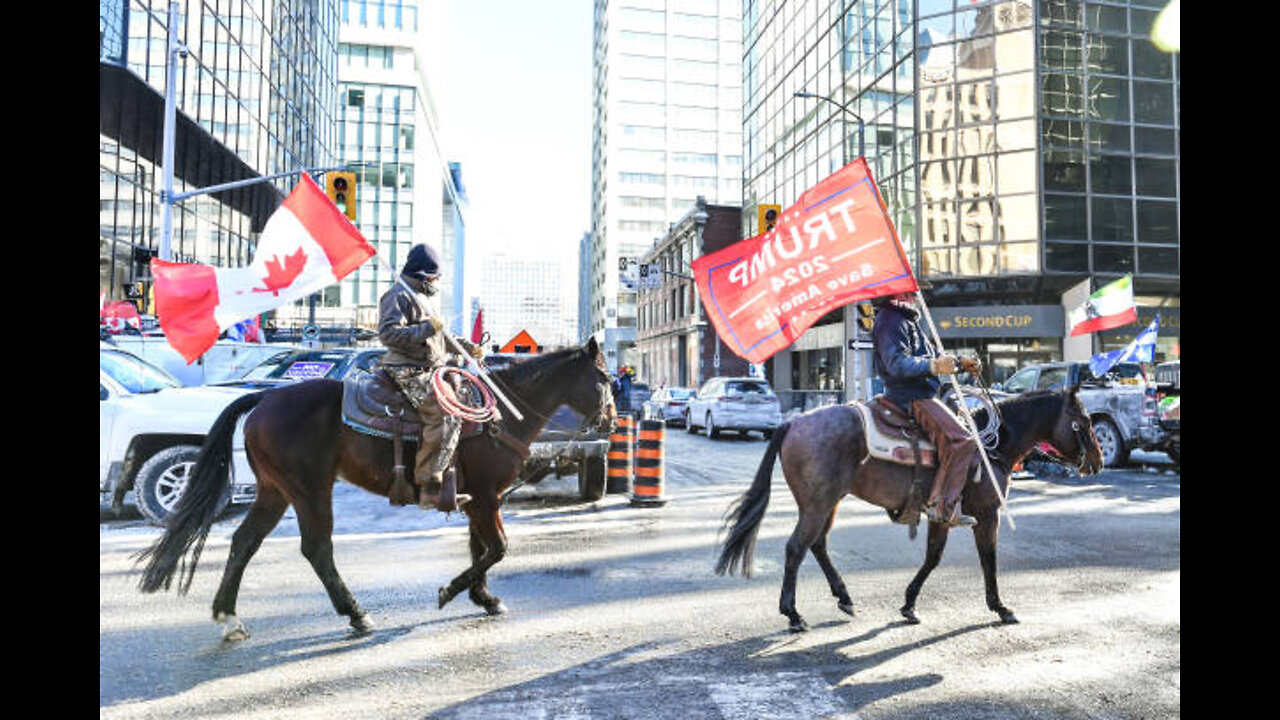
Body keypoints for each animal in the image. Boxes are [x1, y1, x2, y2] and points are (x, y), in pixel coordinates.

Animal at [137, 338, 616, 638]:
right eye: (606, 379)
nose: (611, 420)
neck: (500, 413)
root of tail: (265, 398)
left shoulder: (480, 499)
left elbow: (480, 549)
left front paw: (484, 598)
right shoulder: (484, 499)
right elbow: (496, 548)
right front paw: (450, 593)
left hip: (274, 491)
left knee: (243, 543)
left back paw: (229, 618)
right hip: (309, 490)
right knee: (316, 548)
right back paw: (356, 614)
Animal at [716, 386, 1105, 627]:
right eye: (1084, 421)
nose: (1098, 461)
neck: (989, 446)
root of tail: (794, 421)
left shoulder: (940, 514)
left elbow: (932, 557)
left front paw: (909, 604)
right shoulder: (986, 514)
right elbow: (988, 559)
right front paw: (1000, 607)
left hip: (830, 501)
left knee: (817, 544)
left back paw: (844, 597)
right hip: (817, 503)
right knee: (796, 547)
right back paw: (793, 614)